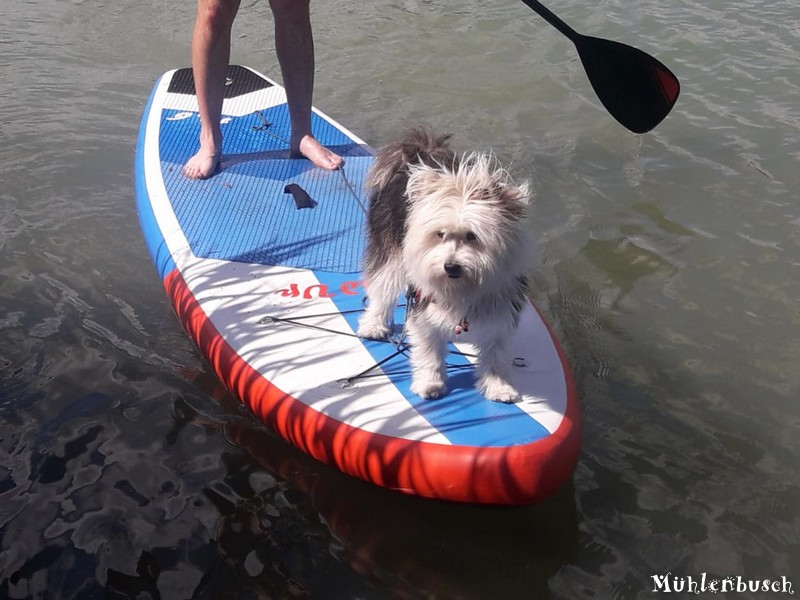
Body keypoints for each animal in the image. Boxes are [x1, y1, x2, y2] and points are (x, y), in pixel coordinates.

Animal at [356, 127, 532, 404]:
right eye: (440, 234)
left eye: (472, 236)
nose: (451, 267)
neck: (461, 288)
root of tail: (421, 154)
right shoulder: (422, 308)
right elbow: (429, 350)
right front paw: (431, 383)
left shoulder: (501, 309)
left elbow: (496, 353)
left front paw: (498, 387)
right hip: (391, 248)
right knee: (382, 286)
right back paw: (374, 325)